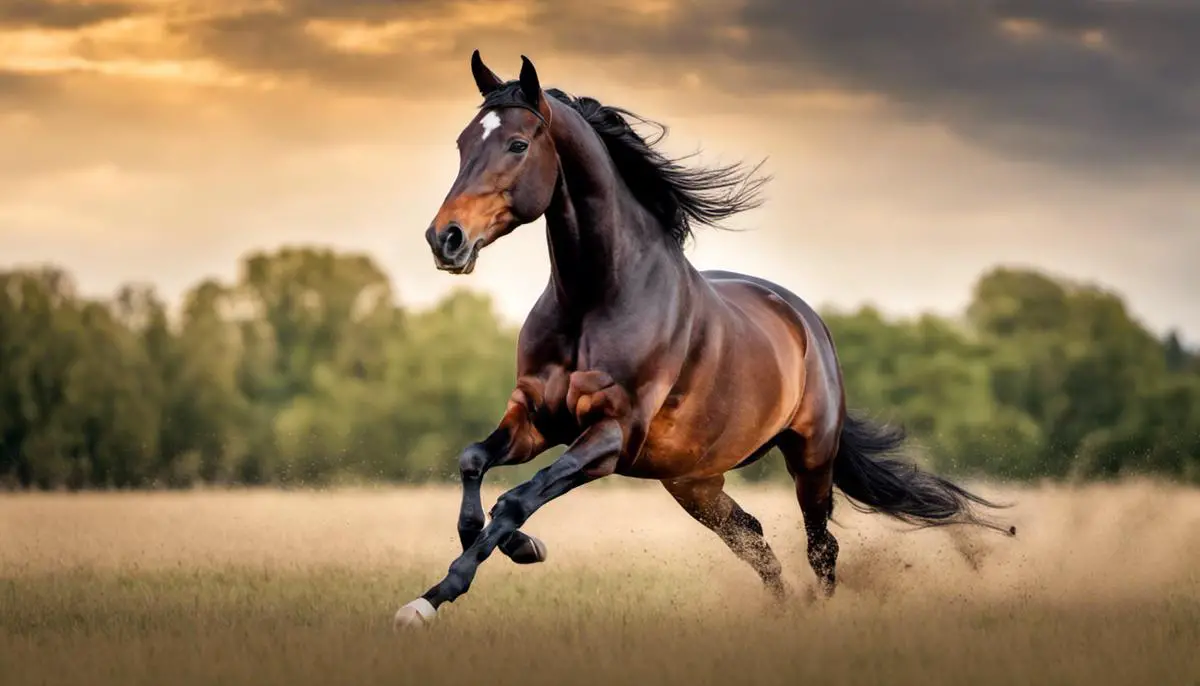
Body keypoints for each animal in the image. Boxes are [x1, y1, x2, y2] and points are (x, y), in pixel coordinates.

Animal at [393, 52, 1012, 633]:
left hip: (810, 459)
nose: (444, 239)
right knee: (755, 541)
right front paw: (517, 550)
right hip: (694, 483)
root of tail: (805, 320)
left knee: (820, 547)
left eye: (518, 144)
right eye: (463, 143)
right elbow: (474, 463)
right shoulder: (536, 418)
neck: (594, 299)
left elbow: (518, 497)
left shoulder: (610, 434)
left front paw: (432, 599)